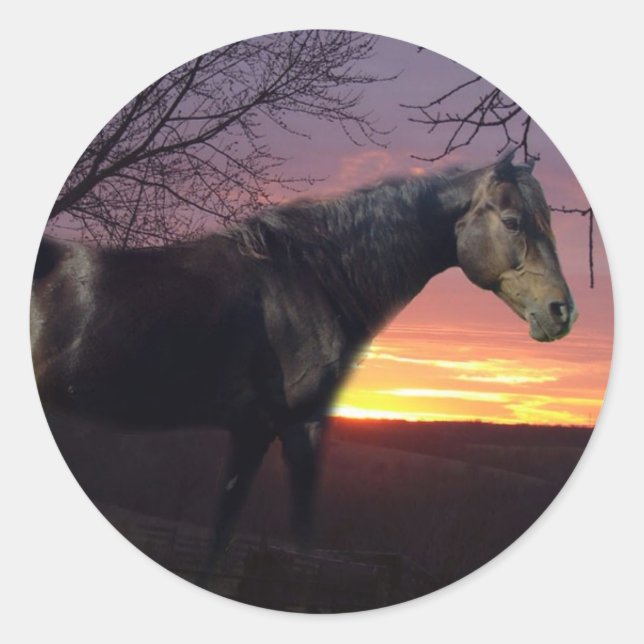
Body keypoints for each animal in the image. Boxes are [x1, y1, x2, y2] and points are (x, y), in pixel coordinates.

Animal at [30, 151, 577, 582]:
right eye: (513, 221)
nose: (562, 312)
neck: (312, 279)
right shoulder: (296, 426)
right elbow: (289, 540)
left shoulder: (253, 431)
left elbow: (227, 536)